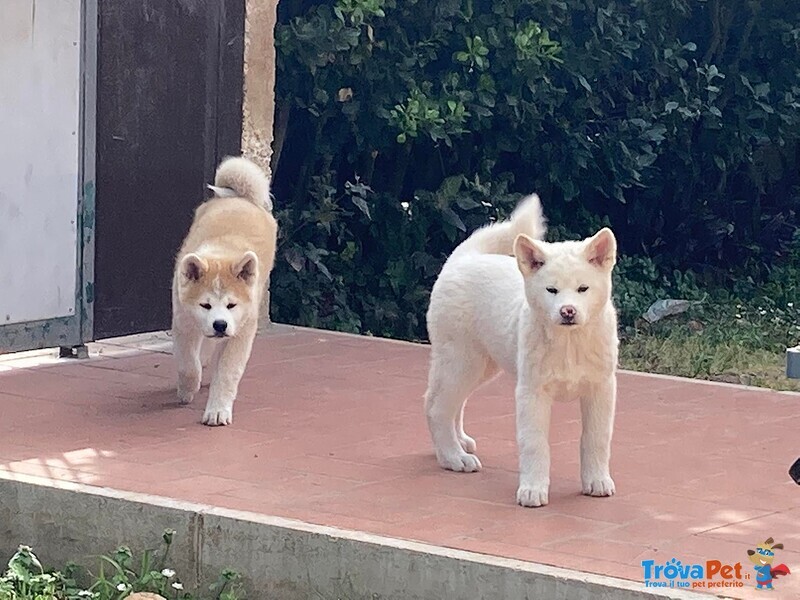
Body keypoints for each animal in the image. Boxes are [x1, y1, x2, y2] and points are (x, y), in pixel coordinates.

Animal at [172, 157, 278, 424]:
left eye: (232, 304)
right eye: (205, 305)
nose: (220, 325)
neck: (222, 252)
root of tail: (241, 198)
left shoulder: (241, 332)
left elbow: (227, 373)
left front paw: (218, 410)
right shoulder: (183, 321)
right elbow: (188, 364)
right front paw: (188, 388)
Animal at [424, 196, 620, 506]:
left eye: (583, 289)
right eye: (551, 290)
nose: (567, 312)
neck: (569, 343)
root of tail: (462, 258)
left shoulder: (601, 388)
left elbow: (596, 439)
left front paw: (597, 481)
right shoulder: (532, 392)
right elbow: (534, 443)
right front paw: (532, 490)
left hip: (481, 365)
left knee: (447, 401)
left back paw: (460, 443)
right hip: (462, 361)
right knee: (436, 407)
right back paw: (454, 457)